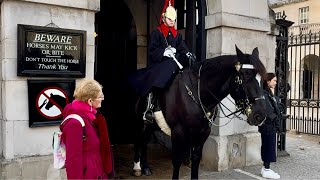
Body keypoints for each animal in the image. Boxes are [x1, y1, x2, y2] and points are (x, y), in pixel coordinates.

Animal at [132, 45, 268, 179]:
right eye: (245, 77)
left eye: (262, 79)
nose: (260, 115)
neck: (199, 94)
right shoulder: (178, 132)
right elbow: (177, 161)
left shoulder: (203, 132)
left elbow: (196, 159)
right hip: (139, 122)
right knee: (138, 139)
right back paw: (137, 167)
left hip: (151, 125)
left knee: (144, 140)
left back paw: (145, 167)